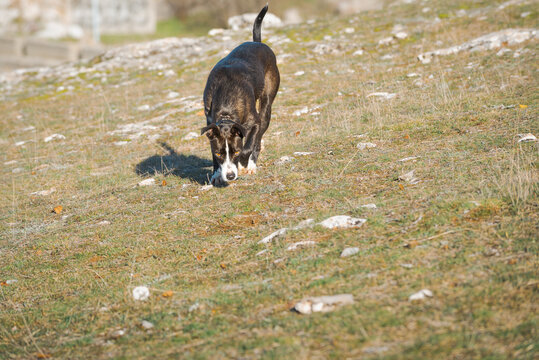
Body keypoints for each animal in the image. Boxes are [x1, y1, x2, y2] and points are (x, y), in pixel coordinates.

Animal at [200, 4, 280, 186]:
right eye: (220, 153)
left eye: (235, 152)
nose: (229, 175)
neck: (226, 110)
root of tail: (257, 43)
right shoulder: (210, 124)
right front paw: (216, 173)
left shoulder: (254, 122)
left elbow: (248, 145)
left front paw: (243, 163)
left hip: (266, 108)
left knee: (258, 140)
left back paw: (250, 165)